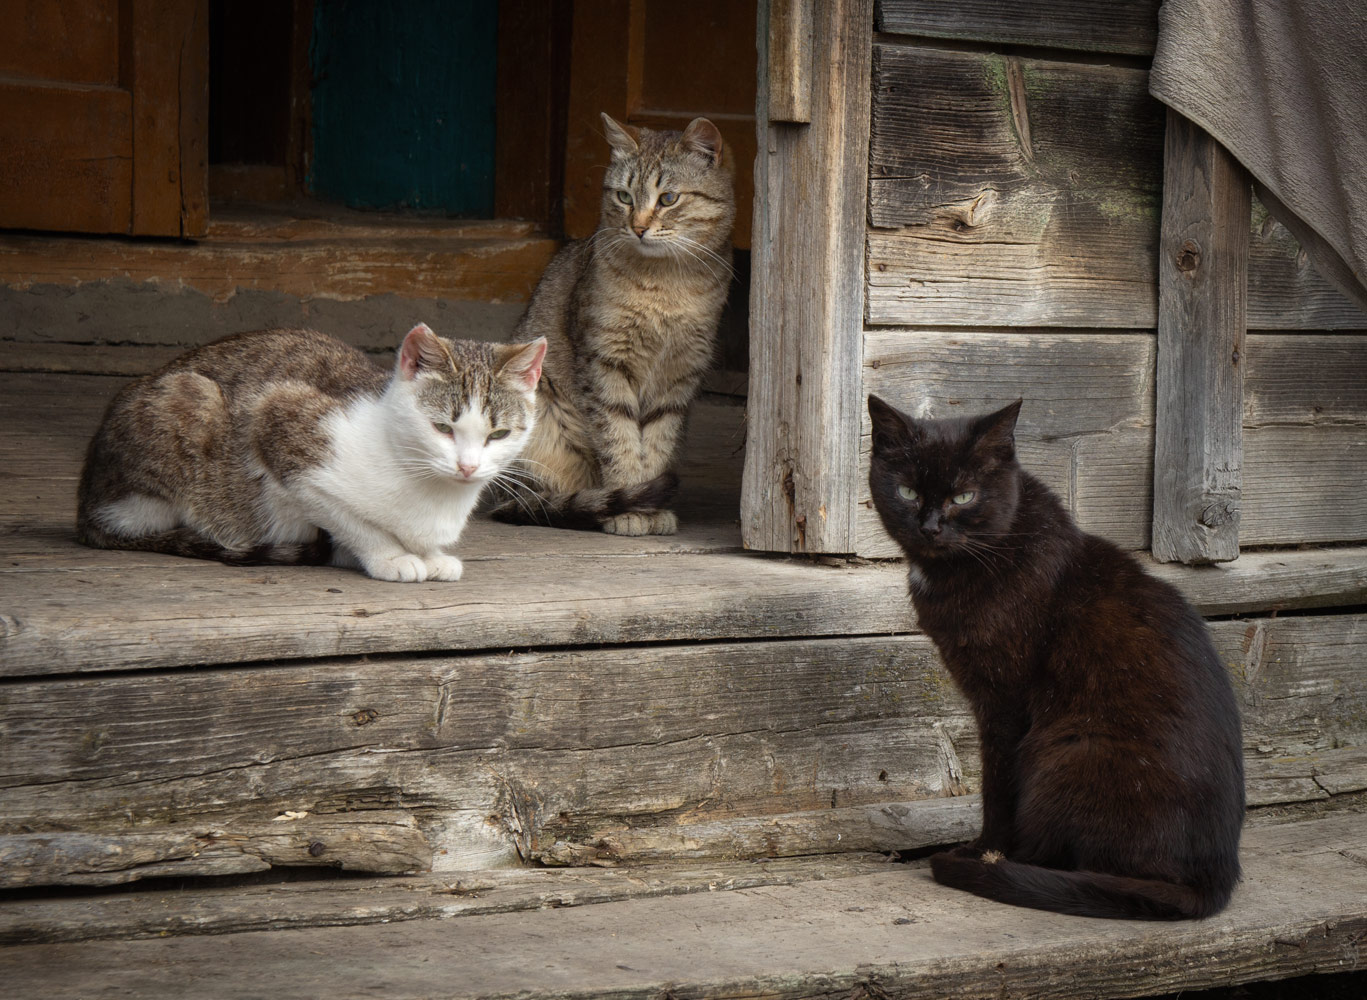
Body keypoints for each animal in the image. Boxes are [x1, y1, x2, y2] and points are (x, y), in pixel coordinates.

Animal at [76, 323, 544, 581]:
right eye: (443, 428)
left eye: (498, 434)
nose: (467, 466)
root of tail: (85, 506)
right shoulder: (279, 424)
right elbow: (347, 517)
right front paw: (390, 555)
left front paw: (431, 556)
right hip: (189, 402)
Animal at [494, 112, 738, 535]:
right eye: (624, 197)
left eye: (668, 199)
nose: (638, 227)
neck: (665, 285)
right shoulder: (603, 362)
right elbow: (618, 438)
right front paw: (629, 505)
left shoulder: (680, 372)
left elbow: (657, 444)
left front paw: (650, 508)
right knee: (538, 498)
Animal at [869, 393, 1246, 918]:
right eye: (906, 491)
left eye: (963, 497)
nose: (930, 527)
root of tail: (1213, 879)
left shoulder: (1003, 702)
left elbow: (997, 785)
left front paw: (985, 850)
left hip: (1066, 751)